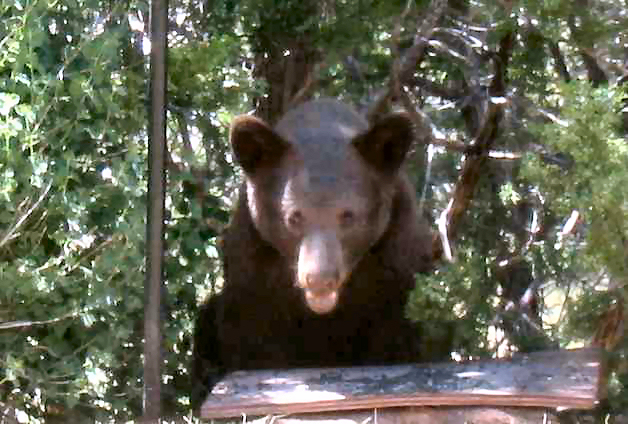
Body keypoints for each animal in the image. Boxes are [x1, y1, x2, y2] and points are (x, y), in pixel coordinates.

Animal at [190, 98, 446, 410]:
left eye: (348, 216)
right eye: (294, 217)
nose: (319, 279)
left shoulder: (397, 259)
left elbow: (401, 335)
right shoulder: (253, 267)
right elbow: (253, 339)